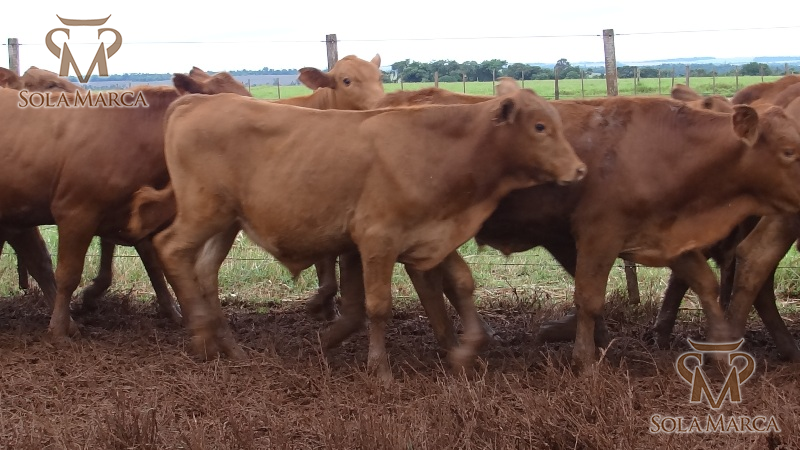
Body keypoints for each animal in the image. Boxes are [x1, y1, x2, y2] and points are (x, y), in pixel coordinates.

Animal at [144, 87, 586, 383]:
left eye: (556, 124)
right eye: (540, 126)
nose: (580, 170)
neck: (435, 147)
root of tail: (196, 101)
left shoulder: (431, 235)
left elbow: (462, 283)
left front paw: (466, 352)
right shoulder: (378, 240)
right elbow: (378, 307)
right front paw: (380, 369)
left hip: (227, 222)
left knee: (205, 271)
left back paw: (231, 347)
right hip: (203, 212)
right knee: (170, 248)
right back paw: (202, 338)